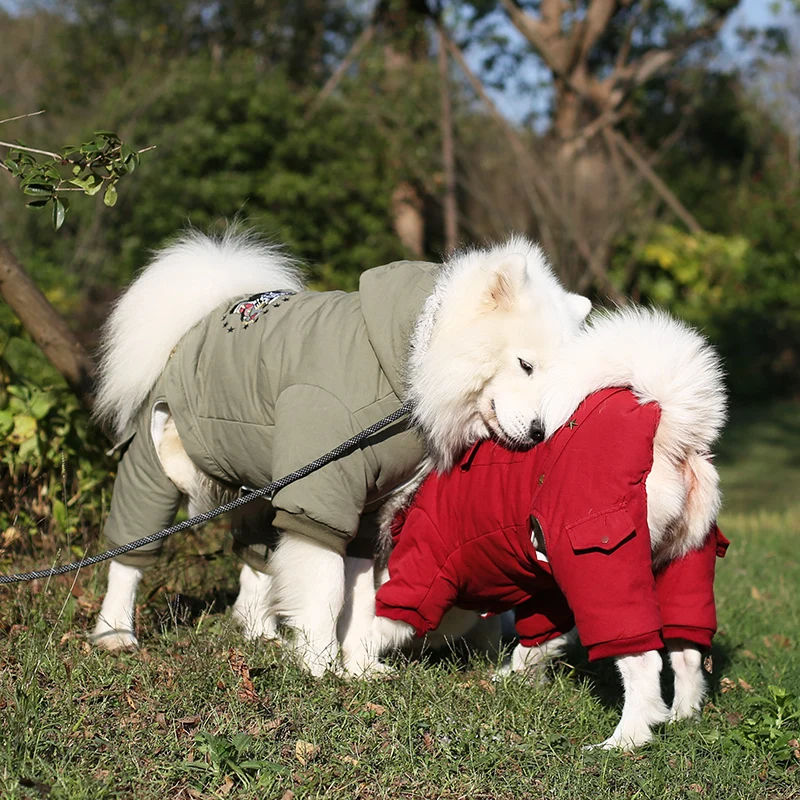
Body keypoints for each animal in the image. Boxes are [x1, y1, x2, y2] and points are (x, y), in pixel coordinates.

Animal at [372, 308, 728, 752]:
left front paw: (353, 664)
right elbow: (537, 642)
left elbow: (378, 623)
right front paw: (513, 677)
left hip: (601, 564)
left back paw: (625, 740)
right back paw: (683, 716)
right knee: (688, 654)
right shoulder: (545, 591)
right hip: (681, 565)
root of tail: (662, 429)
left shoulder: (424, 568)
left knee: (644, 663)